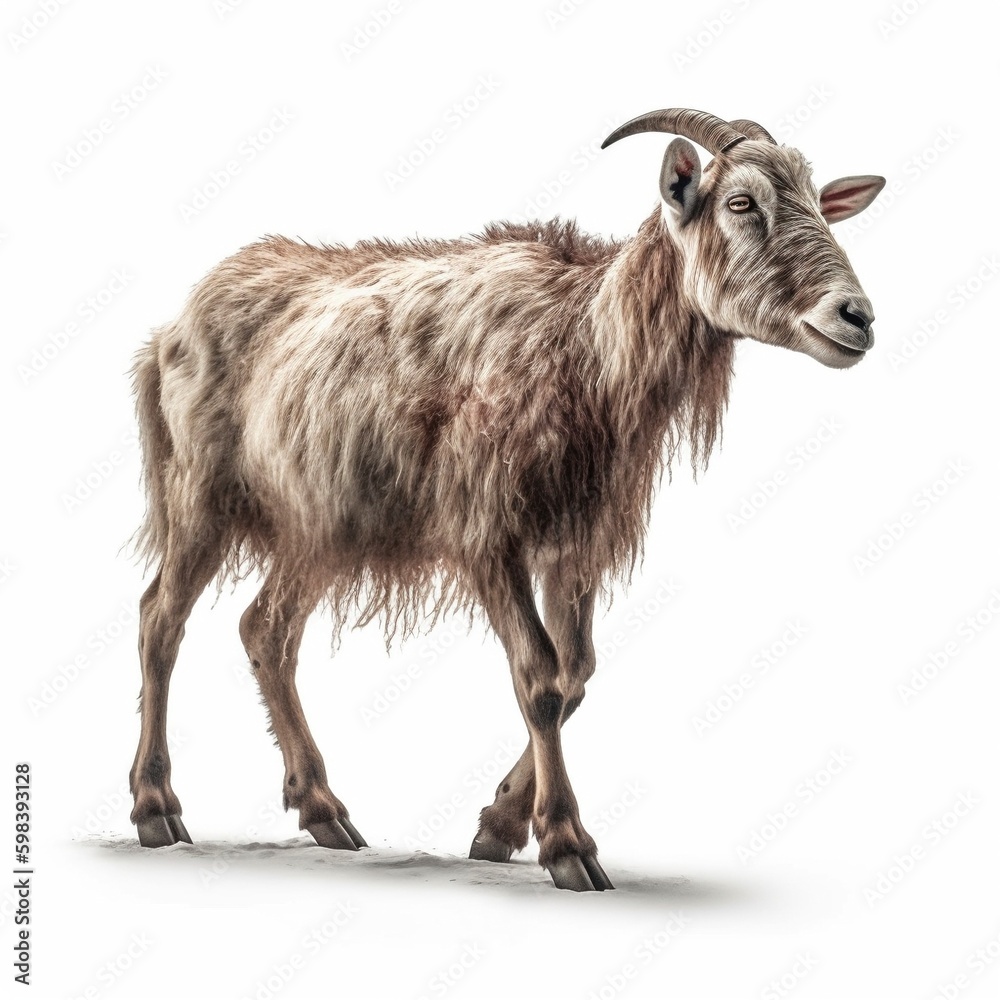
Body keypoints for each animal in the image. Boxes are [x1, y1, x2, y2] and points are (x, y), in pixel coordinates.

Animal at [129, 108, 884, 891]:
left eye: (817, 202)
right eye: (740, 203)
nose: (857, 316)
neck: (583, 342)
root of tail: (169, 331)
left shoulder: (573, 545)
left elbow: (575, 673)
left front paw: (498, 827)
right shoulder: (488, 534)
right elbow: (539, 676)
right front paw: (568, 847)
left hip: (317, 527)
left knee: (266, 630)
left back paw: (324, 812)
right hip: (201, 496)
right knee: (161, 620)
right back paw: (157, 809)